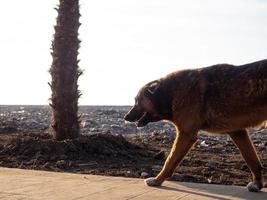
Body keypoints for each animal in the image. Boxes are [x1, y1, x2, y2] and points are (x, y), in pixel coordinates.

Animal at [125, 59, 267, 192]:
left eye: (137, 100)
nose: (125, 117)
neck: (170, 93)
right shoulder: (237, 132)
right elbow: (252, 160)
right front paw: (257, 184)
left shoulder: (186, 134)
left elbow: (169, 161)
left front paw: (157, 180)